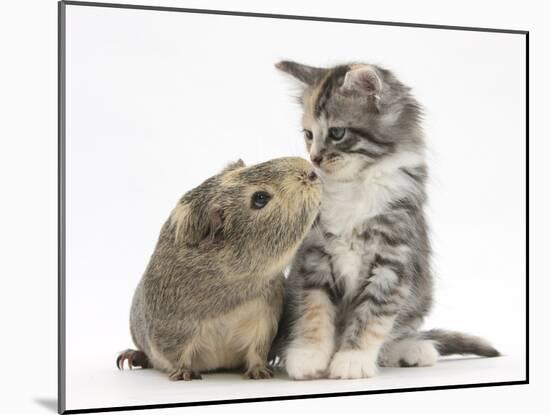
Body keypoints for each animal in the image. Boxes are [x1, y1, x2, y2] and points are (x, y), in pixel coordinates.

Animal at [274, 61, 502, 380]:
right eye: (308, 134)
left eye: (337, 132)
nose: (315, 158)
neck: (354, 185)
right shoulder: (313, 256)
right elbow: (313, 309)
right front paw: (308, 355)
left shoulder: (393, 259)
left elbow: (372, 316)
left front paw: (352, 360)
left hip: (420, 298)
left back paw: (413, 350)